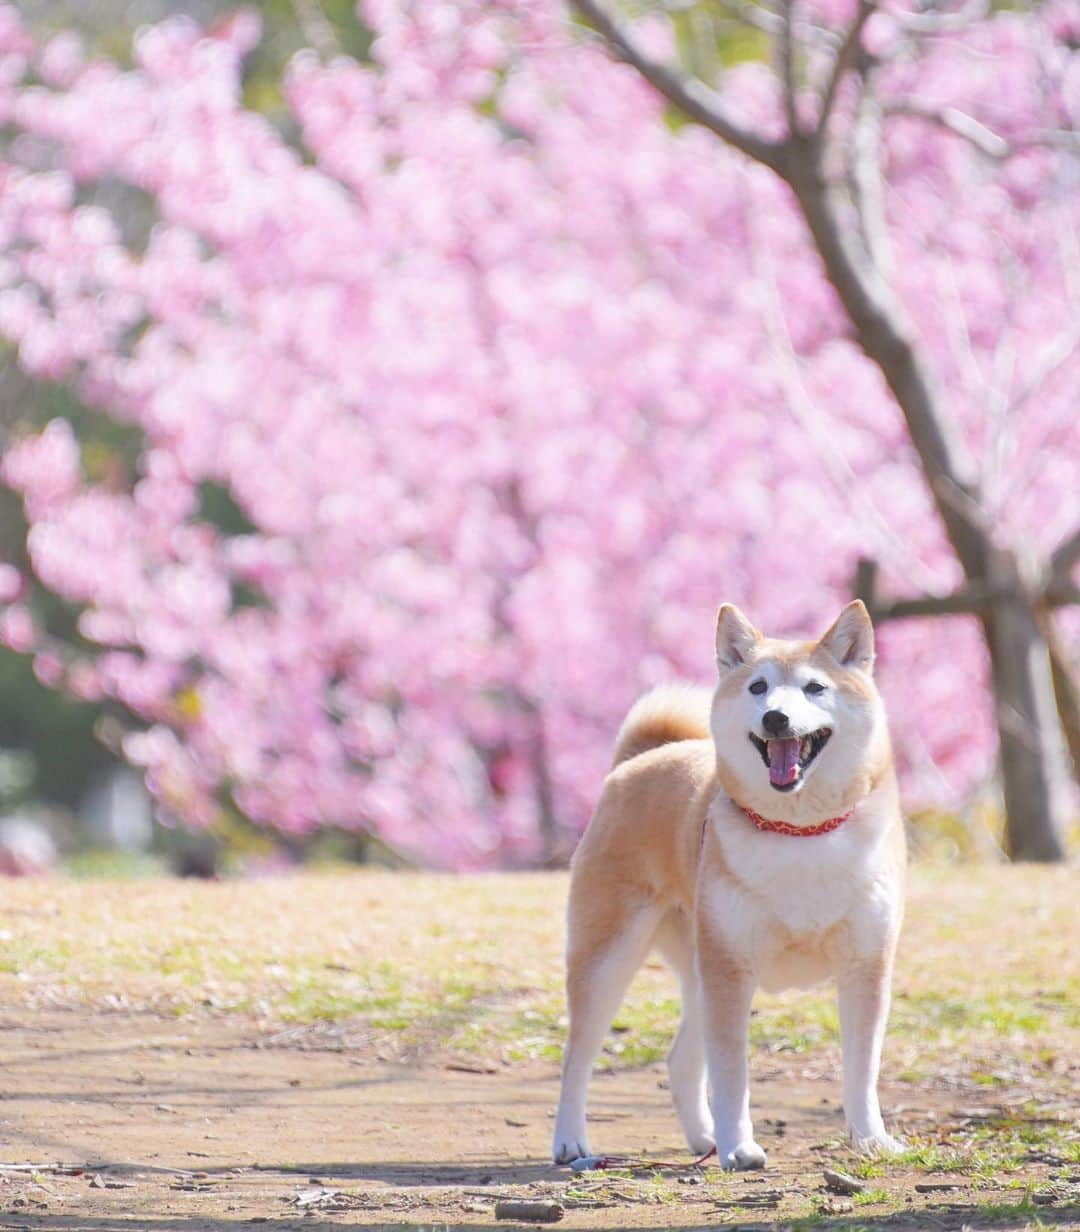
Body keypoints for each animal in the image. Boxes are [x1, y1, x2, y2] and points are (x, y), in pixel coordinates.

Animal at [551, 601, 906, 1167]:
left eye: (815, 688)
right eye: (758, 687)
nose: (776, 717)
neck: (799, 833)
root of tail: (640, 758)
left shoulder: (866, 967)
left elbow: (861, 1068)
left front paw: (871, 1139)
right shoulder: (731, 969)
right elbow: (732, 1072)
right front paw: (741, 1147)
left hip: (698, 966)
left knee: (678, 1061)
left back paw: (704, 1138)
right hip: (610, 958)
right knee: (577, 1057)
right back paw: (570, 1139)